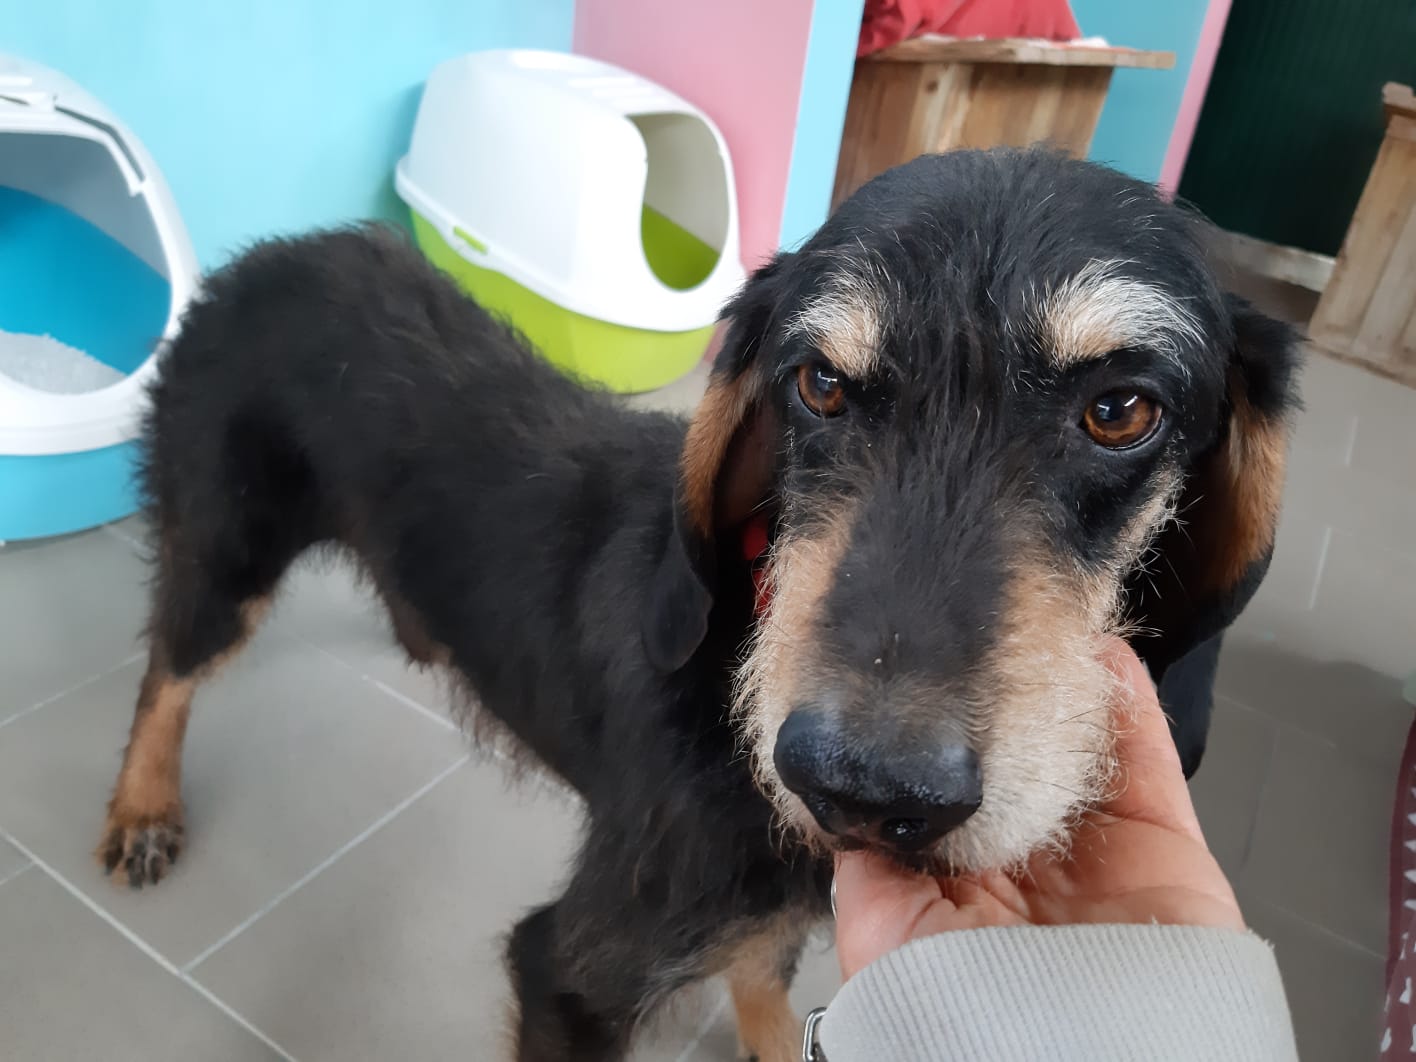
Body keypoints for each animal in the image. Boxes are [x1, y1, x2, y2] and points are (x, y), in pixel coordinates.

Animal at [98, 147, 1300, 1061]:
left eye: (1122, 410)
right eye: (817, 383)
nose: (863, 788)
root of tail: (264, 258)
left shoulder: (772, 916)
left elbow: (765, 986)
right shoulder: (573, 972)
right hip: (228, 549)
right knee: (166, 665)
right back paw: (142, 806)